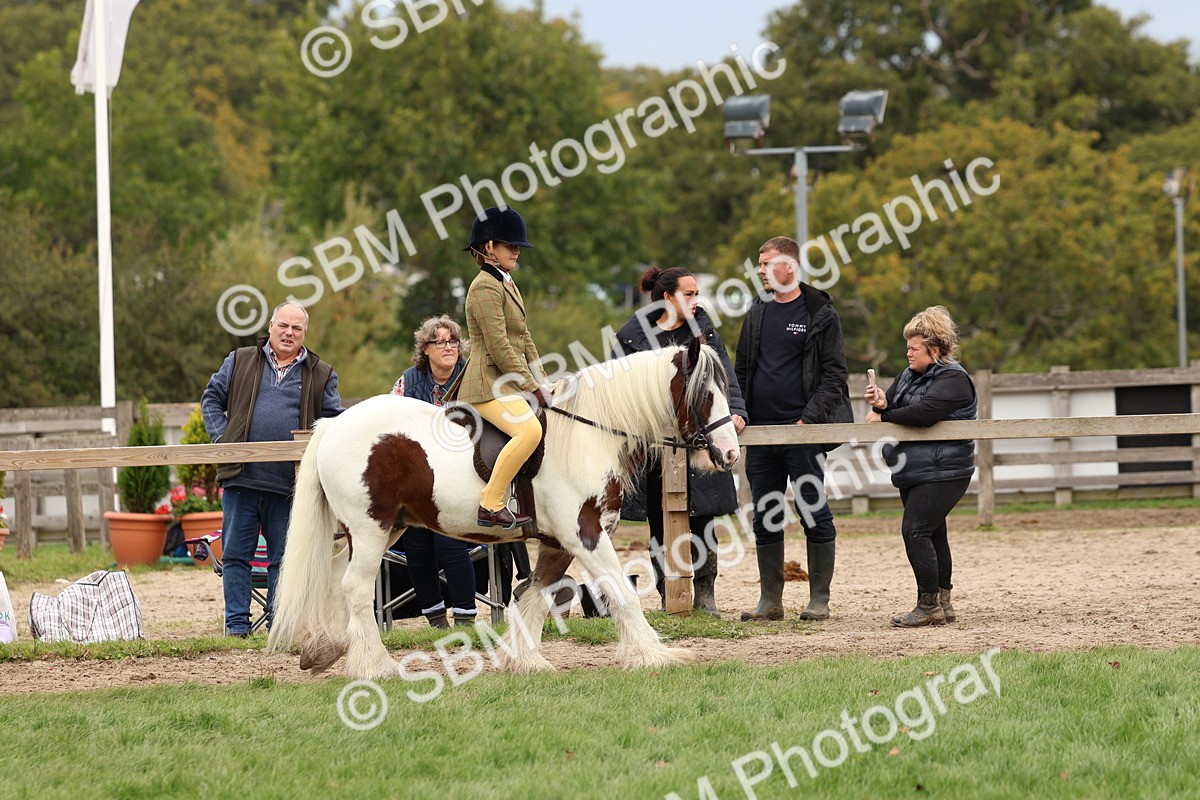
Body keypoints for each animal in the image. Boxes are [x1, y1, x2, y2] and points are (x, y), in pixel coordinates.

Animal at [266, 336, 740, 679]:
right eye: (704, 395)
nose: (731, 454)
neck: (590, 434)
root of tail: (334, 425)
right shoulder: (584, 533)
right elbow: (620, 593)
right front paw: (654, 655)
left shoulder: (557, 542)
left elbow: (534, 596)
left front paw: (525, 661)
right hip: (370, 531)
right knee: (356, 590)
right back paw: (375, 666)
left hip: (377, 530)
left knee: (332, 582)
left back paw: (325, 650)